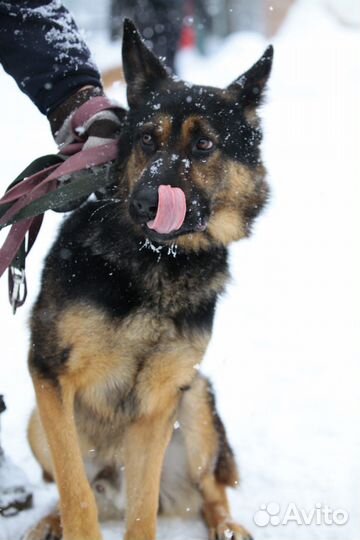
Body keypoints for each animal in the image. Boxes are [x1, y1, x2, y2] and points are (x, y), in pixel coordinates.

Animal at [25, 19, 272, 540]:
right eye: (146, 140)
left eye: (204, 145)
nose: (144, 203)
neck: (159, 262)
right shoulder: (49, 374)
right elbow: (75, 489)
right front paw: (73, 523)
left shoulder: (159, 403)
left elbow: (142, 512)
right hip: (37, 419)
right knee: (73, 484)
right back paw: (50, 519)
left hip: (195, 397)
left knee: (208, 490)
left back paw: (226, 525)